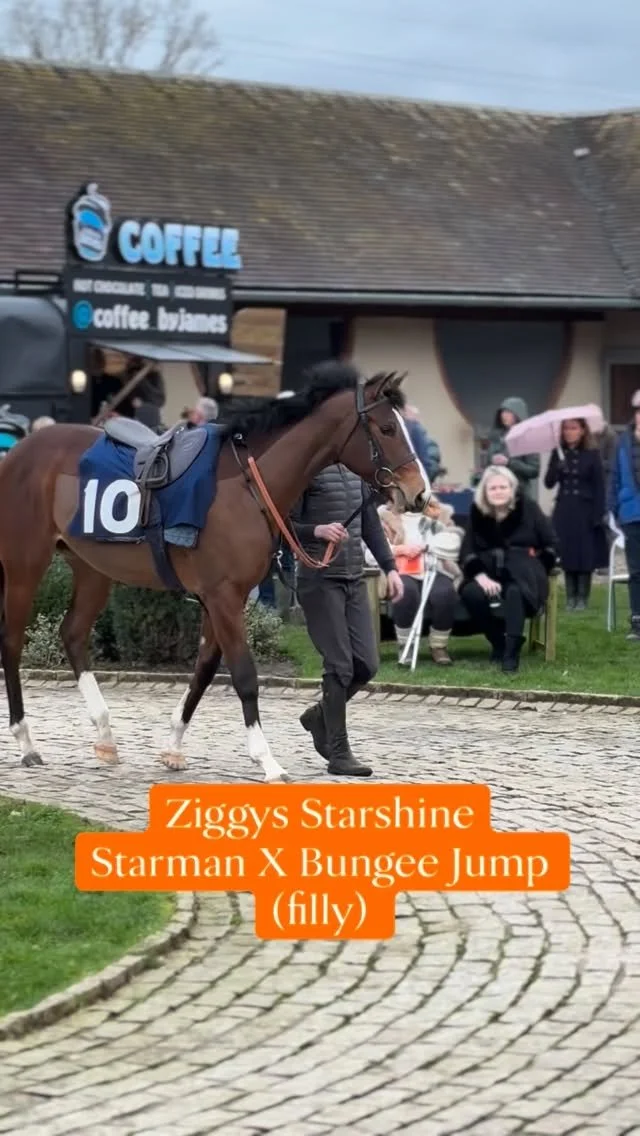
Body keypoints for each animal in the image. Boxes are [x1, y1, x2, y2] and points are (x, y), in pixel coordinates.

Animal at [0, 360, 430, 781]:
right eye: (388, 428)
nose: (419, 493)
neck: (247, 485)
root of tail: (17, 453)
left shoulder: (222, 598)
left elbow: (205, 670)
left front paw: (173, 747)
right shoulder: (223, 596)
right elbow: (244, 675)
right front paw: (267, 761)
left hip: (91, 566)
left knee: (72, 634)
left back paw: (105, 735)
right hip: (25, 562)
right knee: (13, 641)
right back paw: (26, 743)